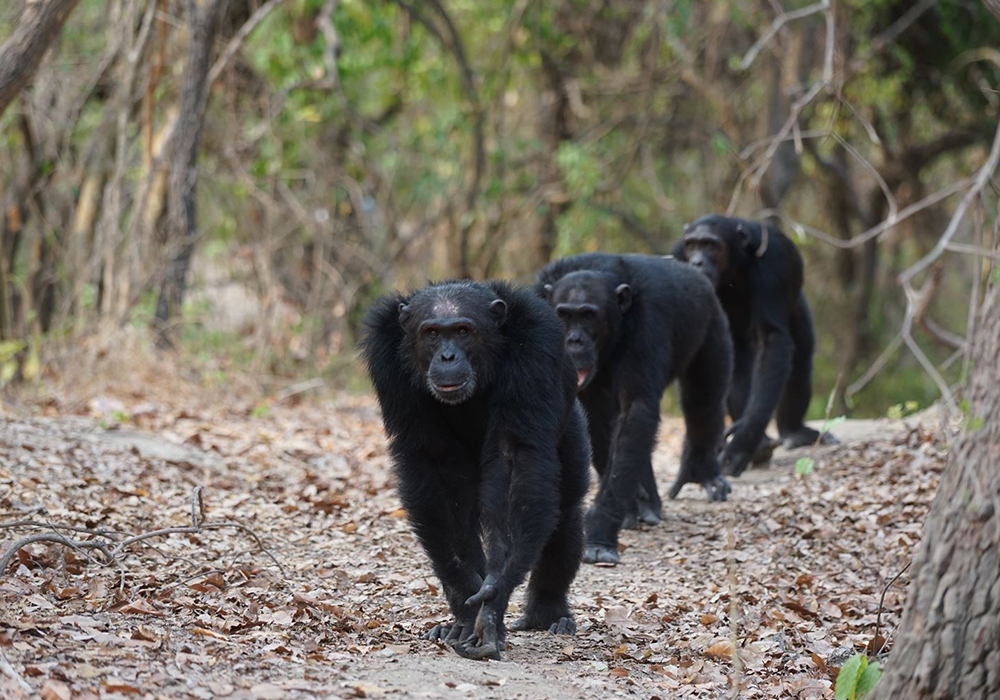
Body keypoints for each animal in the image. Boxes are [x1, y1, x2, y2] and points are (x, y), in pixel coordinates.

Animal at [362, 280, 588, 660]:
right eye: (432, 333)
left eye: (463, 332)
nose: (447, 357)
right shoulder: (386, 358)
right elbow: (435, 464)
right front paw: (470, 601)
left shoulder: (536, 341)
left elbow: (514, 457)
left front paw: (494, 596)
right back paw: (455, 622)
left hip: (572, 429)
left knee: (566, 508)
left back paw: (548, 614)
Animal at [536, 254, 732, 568]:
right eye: (564, 315)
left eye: (588, 315)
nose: (573, 340)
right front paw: (628, 508)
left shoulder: (647, 324)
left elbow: (635, 410)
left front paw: (601, 531)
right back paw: (646, 503)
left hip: (713, 324)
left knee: (704, 402)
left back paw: (704, 474)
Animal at [672, 213, 836, 476]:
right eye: (691, 245)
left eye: (709, 245)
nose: (696, 261)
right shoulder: (677, 257)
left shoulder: (773, 262)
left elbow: (773, 339)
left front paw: (743, 440)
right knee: (737, 359)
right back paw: (760, 446)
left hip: (796, 303)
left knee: (799, 359)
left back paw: (792, 432)